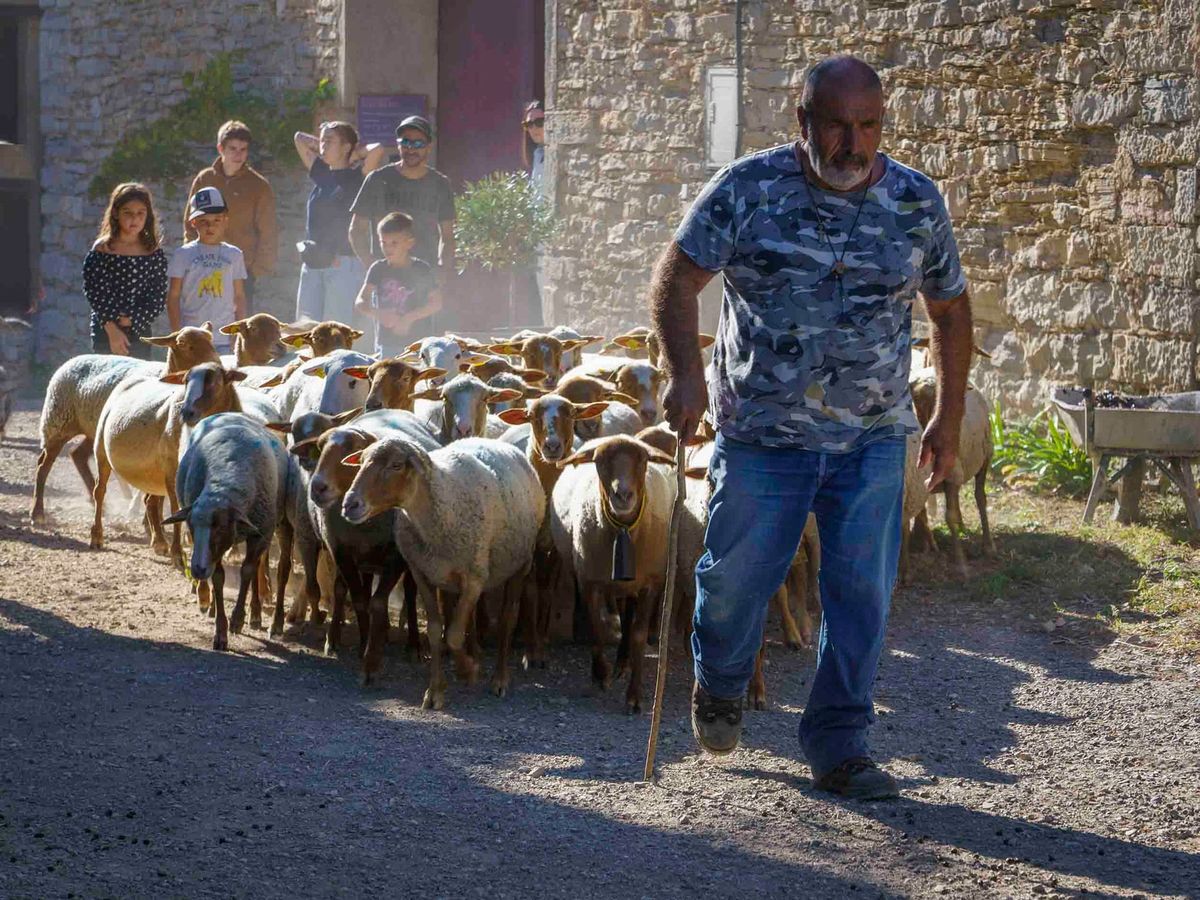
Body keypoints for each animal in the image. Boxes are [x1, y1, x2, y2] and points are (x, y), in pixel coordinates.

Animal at [338, 439, 544, 710]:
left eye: (396, 465)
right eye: (361, 462)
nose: (349, 504)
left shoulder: (474, 578)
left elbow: (454, 635)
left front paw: (469, 671)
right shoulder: (422, 573)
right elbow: (436, 631)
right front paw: (436, 690)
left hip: (521, 564)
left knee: (507, 619)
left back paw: (499, 679)